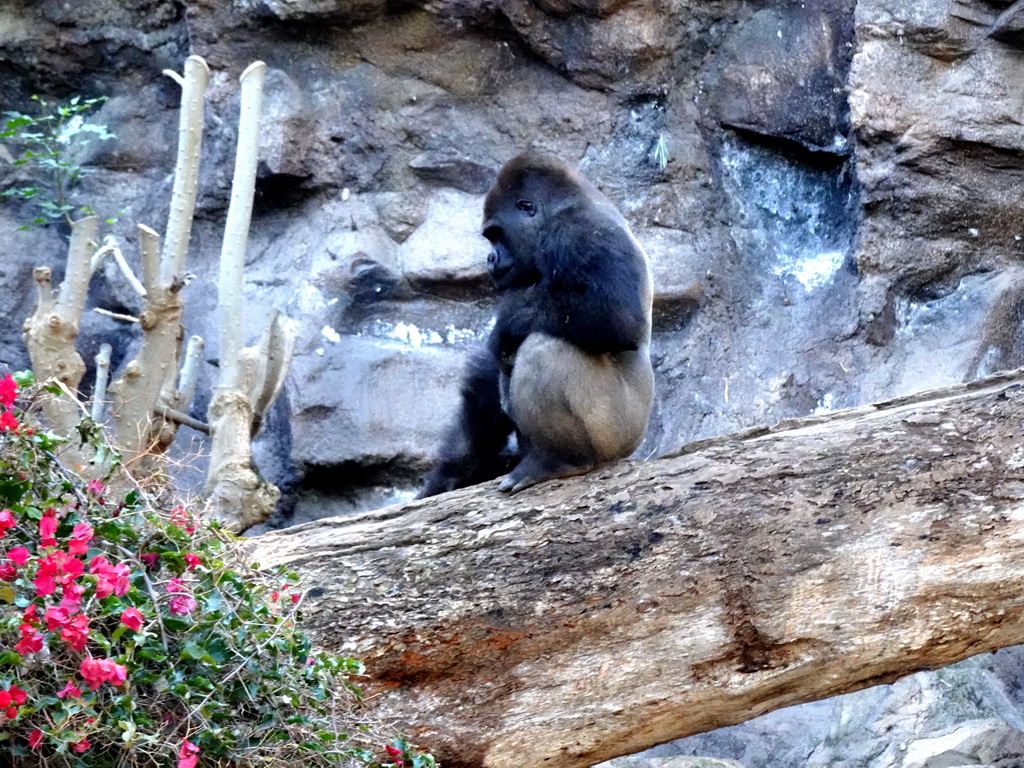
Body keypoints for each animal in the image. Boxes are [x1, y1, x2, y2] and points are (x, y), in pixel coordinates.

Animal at [417, 153, 651, 495]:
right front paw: (452, 472)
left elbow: (616, 318)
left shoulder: (578, 234)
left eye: (496, 234)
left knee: (543, 347)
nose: (490, 258)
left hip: (619, 434)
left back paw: (560, 461)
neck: (567, 206)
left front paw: (507, 324)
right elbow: (489, 378)